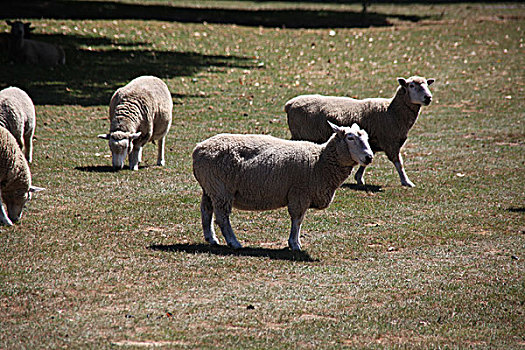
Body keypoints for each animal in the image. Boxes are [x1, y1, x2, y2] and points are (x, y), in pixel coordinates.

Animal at [192, 121, 372, 250]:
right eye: (350, 138)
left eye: (367, 138)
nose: (369, 157)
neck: (319, 162)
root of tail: (198, 149)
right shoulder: (300, 194)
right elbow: (297, 220)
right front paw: (295, 244)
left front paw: (294, 243)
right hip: (221, 188)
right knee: (222, 217)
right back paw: (234, 242)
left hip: (210, 187)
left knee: (206, 210)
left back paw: (211, 238)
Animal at [284, 75, 436, 187]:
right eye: (412, 86)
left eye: (427, 85)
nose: (428, 98)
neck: (391, 111)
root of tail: (290, 104)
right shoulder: (390, 142)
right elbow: (399, 163)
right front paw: (406, 181)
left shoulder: (373, 143)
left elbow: (366, 159)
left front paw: (359, 178)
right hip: (301, 134)